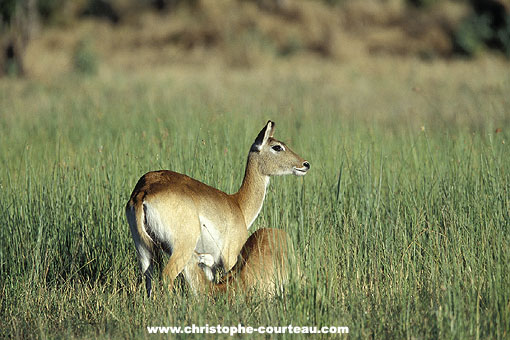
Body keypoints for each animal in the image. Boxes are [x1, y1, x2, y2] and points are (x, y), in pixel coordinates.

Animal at [125, 121, 308, 296]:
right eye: (277, 147)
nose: (305, 164)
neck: (238, 204)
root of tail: (143, 191)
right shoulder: (231, 257)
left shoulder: (209, 266)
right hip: (181, 249)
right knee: (167, 276)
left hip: (144, 250)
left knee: (148, 279)